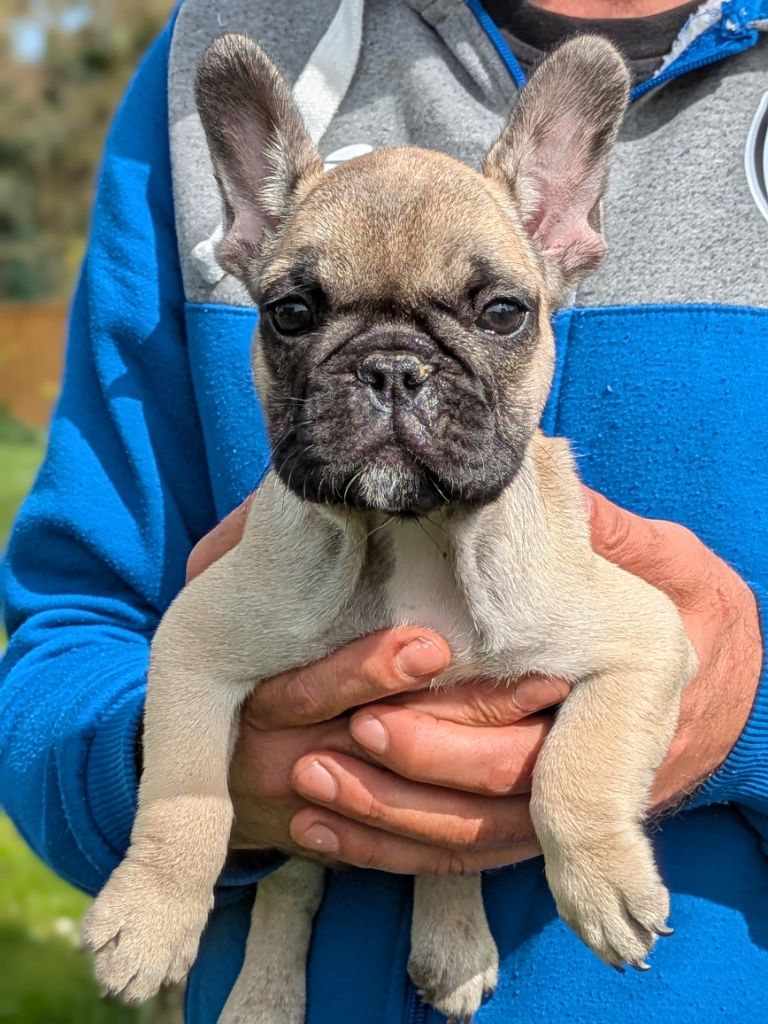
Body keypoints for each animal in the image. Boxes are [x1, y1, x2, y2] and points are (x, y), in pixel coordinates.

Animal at [82, 32, 696, 1024]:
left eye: (502, 313)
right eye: (291, 313)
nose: (393, 367)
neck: (410, 530)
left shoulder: (643, 639)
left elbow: (577, 769)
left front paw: (603, 881)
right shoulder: (194, 645)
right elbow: (184, 791)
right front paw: (150, 916)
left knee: (444, 850)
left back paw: (452, 944)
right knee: (290, 885)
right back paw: (263, 997)